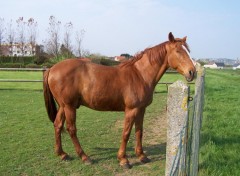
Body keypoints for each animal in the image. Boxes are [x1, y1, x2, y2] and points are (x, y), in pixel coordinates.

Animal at [43, 32, 196, 168]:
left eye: (188, 51)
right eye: (178, 51)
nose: (192, 72)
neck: (140, 75)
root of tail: (52, 68)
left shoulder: (141, 109)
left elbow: (139, 131)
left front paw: (142, 156)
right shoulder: (131, 110)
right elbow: (126, 133)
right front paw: (123, 160)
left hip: (63, 106)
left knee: (57, 125)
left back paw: (62, 154)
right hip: (69, 107)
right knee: (71, 129)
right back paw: (84, 157)